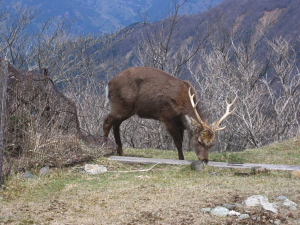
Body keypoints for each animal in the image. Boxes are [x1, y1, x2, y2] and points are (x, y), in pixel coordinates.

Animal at [103, 66, 237, 163]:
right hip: (121, 104)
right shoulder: (167, 117)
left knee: (116, 125)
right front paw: (181, 160)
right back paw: (104, 148)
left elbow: (181, 140)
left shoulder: (180, 124)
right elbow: (178, 142)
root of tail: (109, 84)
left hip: (126, 109)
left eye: (212, 144)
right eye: (199, 141)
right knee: (107, 121)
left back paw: (121, 152)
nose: (205, 160)